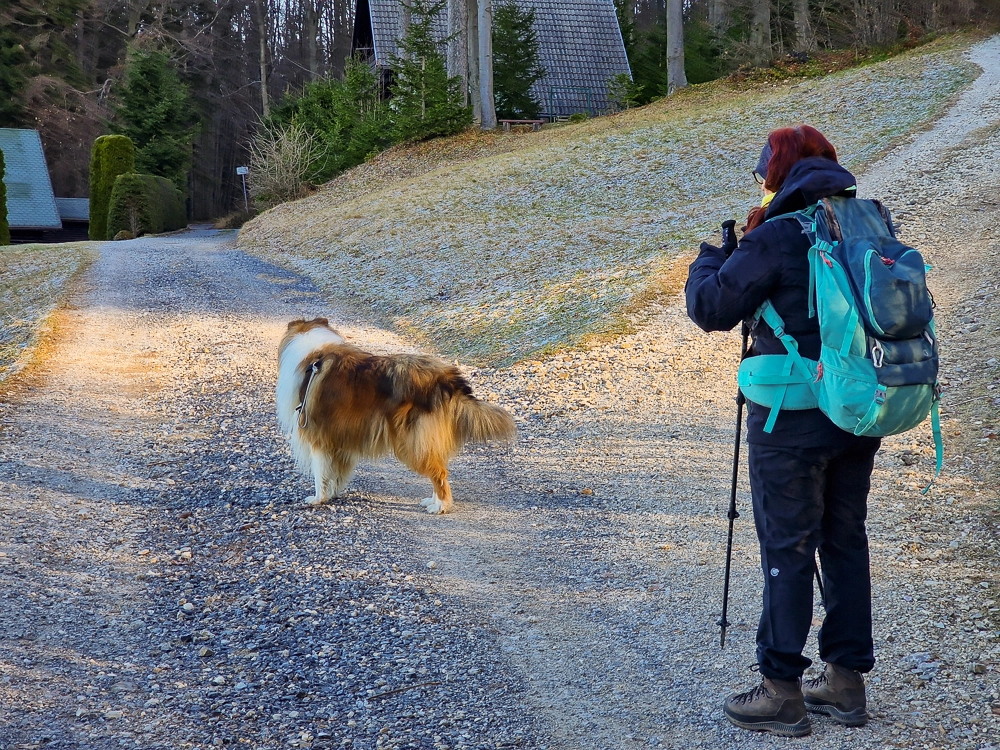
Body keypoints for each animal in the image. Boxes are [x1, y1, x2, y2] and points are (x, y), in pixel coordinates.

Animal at [278, 318, 520, 516]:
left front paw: (318, 498)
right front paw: (333, 493)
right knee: (438, 469)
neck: (313, 357)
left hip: (411, 440)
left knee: (439, 473)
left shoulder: (317, 434)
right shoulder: (339, 440)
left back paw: (440, 506)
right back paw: (432, 501)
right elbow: (336, 471)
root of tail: (445, 378)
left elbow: (320, 472)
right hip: (424, 439)